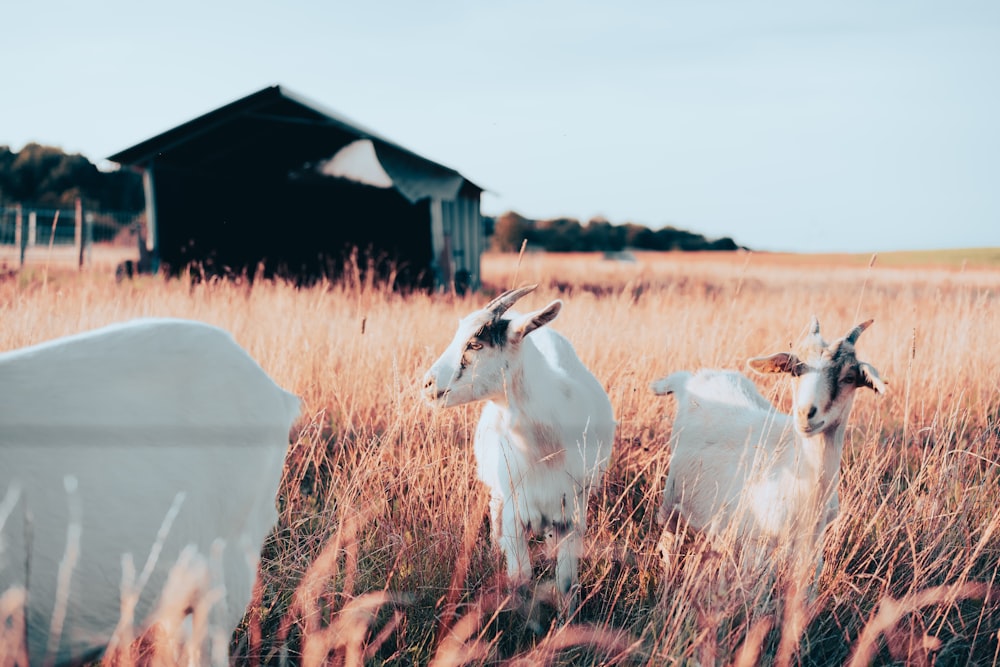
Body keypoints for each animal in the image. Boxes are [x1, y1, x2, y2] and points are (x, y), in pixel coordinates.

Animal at [420, 284, 612, 620]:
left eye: (475, 343)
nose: (428, 384)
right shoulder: (515, 513)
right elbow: (520, 576)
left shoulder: (573, 514)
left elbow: (566, 583)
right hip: (499, 494)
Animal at [652, 318, 888, 584]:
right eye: (795, 370)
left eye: (849, 376)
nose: (806, 414)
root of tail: (690, 380)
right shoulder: (756, 543)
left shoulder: (812, 543)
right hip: (673, 500)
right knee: (667, 541)